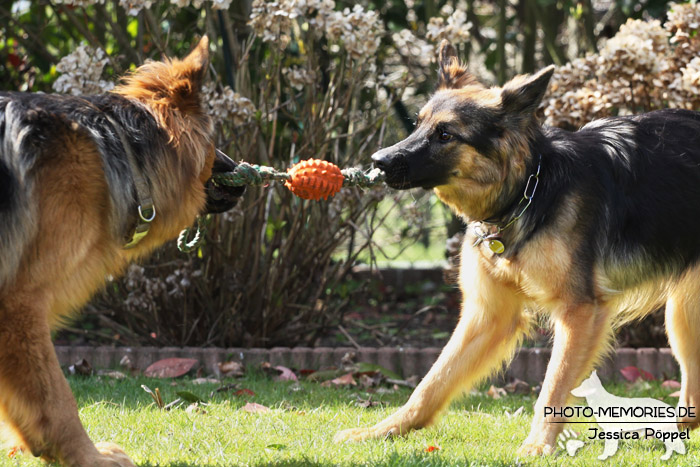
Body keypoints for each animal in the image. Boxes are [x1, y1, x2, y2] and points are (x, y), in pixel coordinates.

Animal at [0, 37, 243, 467]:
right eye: (214, 142)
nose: (242, 177)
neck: (126, 156)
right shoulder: (19, 304)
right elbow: (57, 399)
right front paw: (88, 457)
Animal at [334, 41, 700, 458]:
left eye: (446, 134)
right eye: (419, 124)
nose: (378, 161)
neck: (529, 191)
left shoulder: (579, 312)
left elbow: (554, 386)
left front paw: (538, 445)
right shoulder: (487, 316)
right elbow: (431, 383)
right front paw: (382, 430)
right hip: (682, 316)